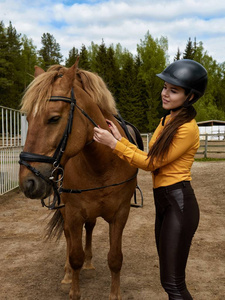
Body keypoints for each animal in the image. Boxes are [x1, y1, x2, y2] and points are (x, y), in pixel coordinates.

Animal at [19, 61, 138, 300]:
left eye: (54, 118)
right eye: (28, 119)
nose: (28, 182)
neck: (101, 164)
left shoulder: (121, 214)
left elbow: (115, 258)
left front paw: (115, 294)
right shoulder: (73, 213)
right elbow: (75, 255)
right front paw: (73, 287)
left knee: (90, 228)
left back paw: (89, 264)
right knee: (68, 237)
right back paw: (67, 274)